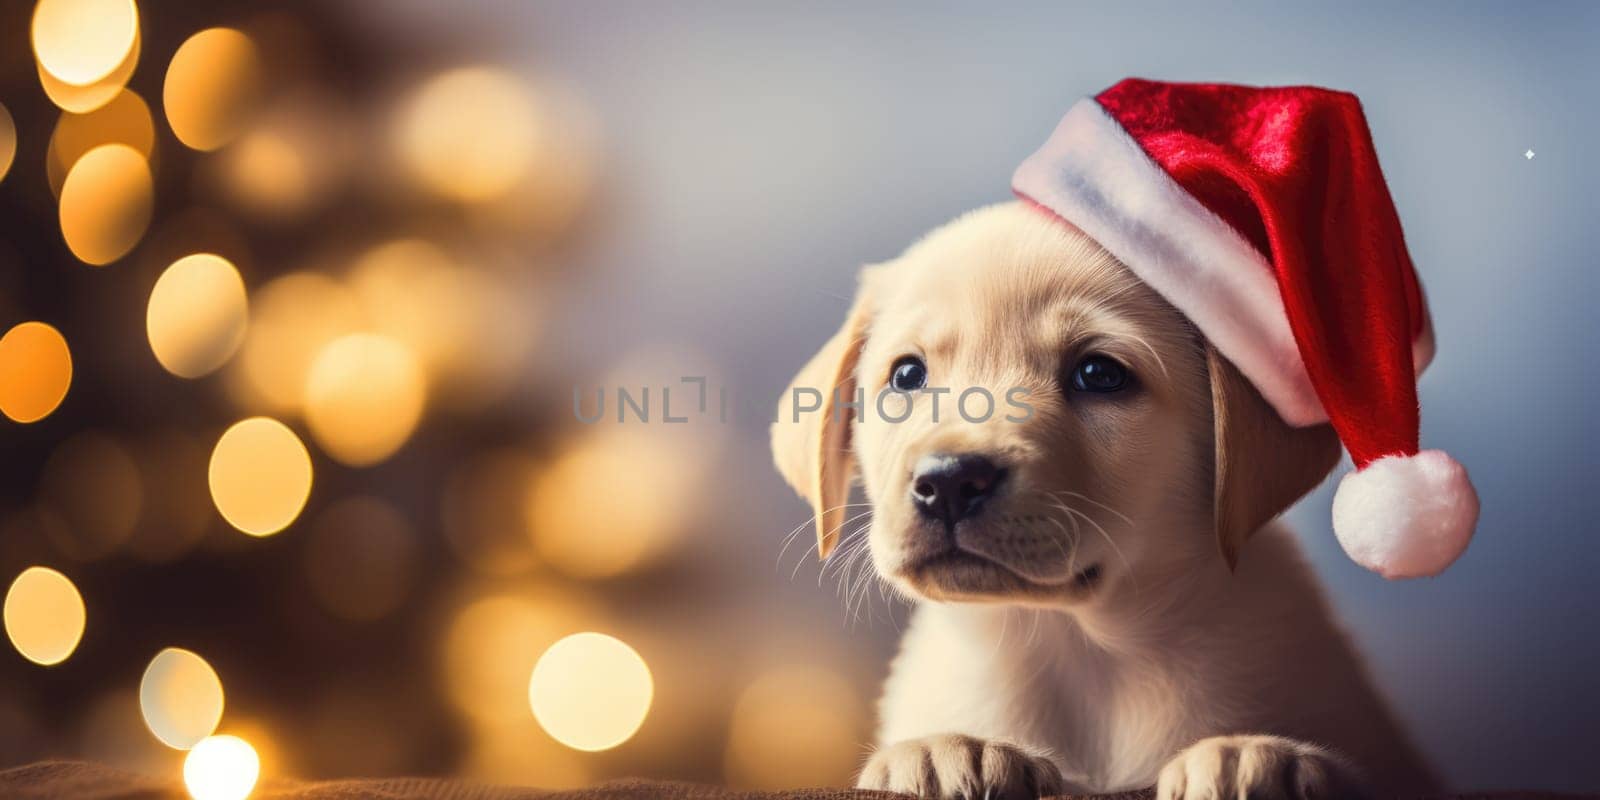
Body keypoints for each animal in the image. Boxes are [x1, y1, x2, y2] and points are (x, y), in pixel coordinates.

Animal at [768, 204, 1433, 800]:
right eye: (906, 375)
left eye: (1099, 374)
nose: (951, 480)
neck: (1074, 650)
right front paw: (945, 750)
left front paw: (1255, 755)